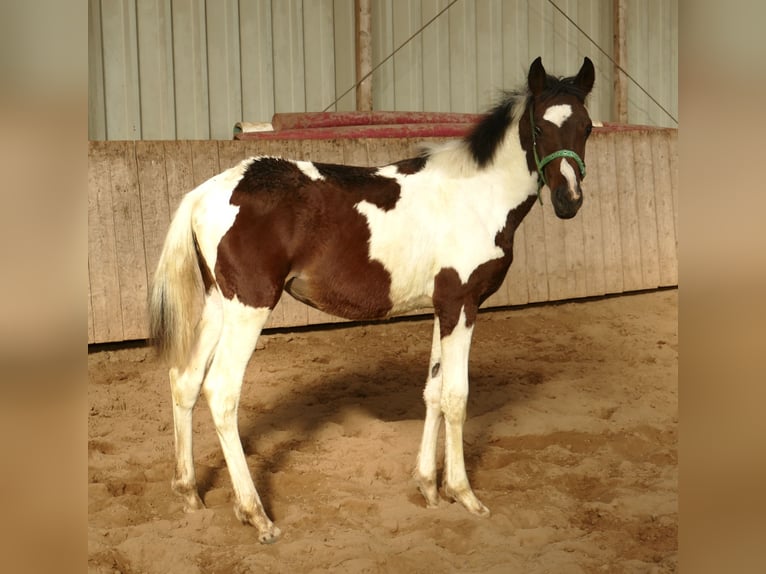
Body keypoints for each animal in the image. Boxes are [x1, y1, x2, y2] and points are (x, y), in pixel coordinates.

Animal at [148, 57, 592, 544]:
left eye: (587, 127)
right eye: (539, 128)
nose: (569, 201)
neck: (475, 196)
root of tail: (204, 193)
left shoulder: (442, 307)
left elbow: (433, 392)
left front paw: (429, 487)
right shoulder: (462, 304)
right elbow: (456, 396)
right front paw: (464, 495)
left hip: (217, 307)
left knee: (185, 381)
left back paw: (190, 493)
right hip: (249, 308)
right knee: (222, 391)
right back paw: (256, 515)